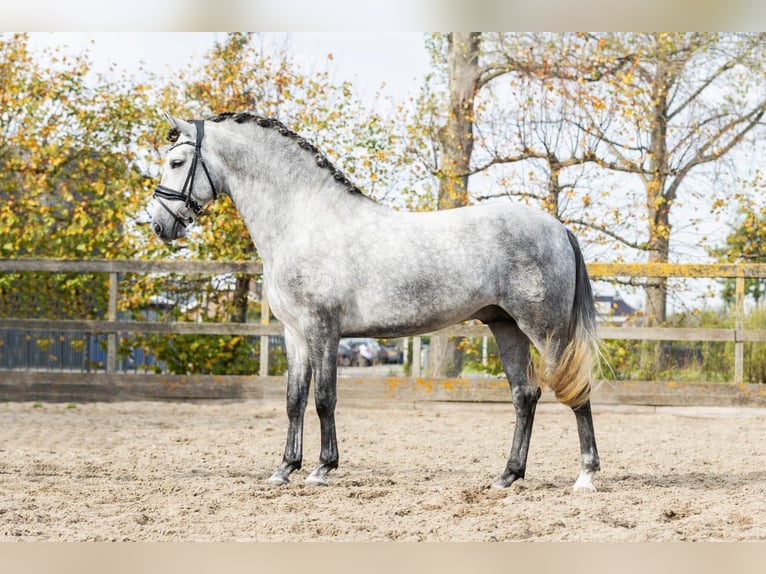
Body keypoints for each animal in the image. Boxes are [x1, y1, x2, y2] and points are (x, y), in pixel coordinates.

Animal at [150, 113, 604, 496]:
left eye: (176, 161)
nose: (158, 223)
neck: (303, 219)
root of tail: (558, 228)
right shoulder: (294, 334)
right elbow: (294, 400)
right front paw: (284, 469)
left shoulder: (323, 329)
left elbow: (324, 398)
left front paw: (322, 469)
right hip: (505, 326)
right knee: (525, 395)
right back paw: (507, 476)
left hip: (546, 329)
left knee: (575, 389)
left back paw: (585, 476)